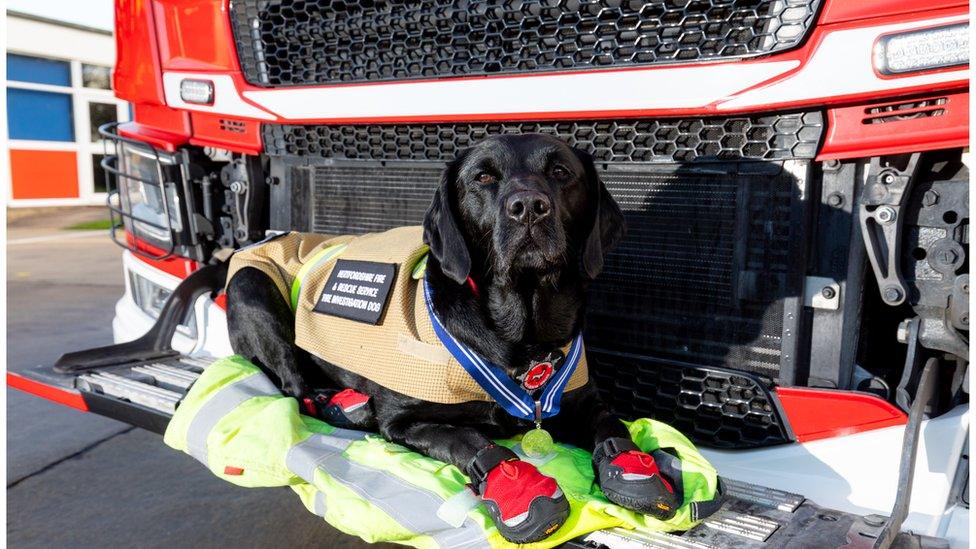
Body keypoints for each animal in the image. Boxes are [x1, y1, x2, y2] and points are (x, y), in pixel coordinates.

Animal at [227, 135, 680, 540]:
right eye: (483, 177)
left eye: (560, 172)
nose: (528, 208)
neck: (521, 334)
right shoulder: (403, 418)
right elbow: (467, 436)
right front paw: (516, 484)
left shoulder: (582, 399)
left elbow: (610, 423)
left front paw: (633, 466)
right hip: (252, 286)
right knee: (293, 384)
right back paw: (342, 406)